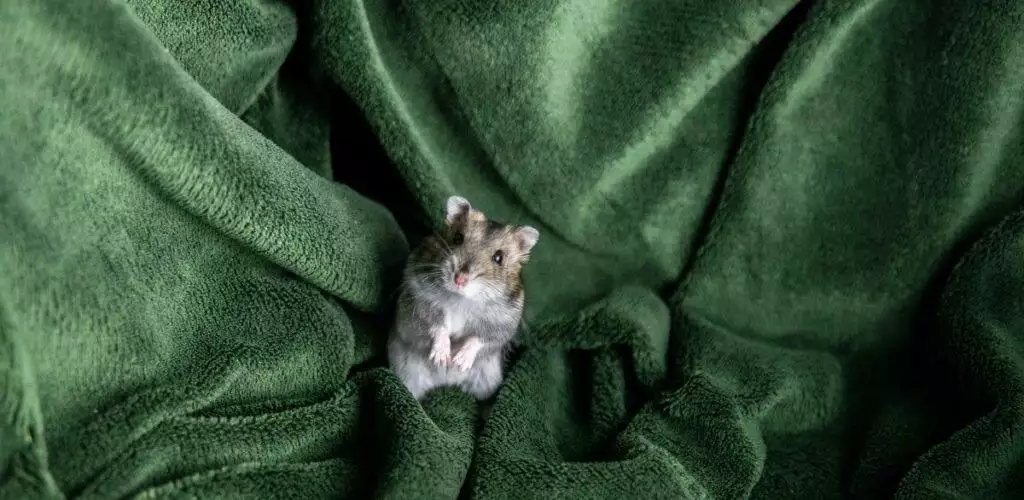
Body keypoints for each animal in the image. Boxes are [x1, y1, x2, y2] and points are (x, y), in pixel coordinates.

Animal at [387, 195, 539, 401]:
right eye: (458, 239)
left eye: (498, 258)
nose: (459, 279)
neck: (461, 299)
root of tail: (445, 383)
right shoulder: (419, 303)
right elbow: (437, 325)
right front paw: (442, 358)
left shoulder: (503, 324)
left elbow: (480, 338)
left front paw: (459, 361)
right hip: (407, 373)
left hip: (488, 380)